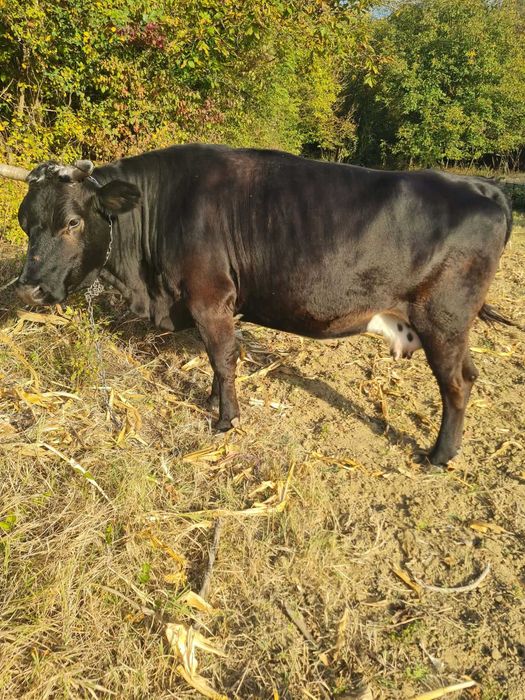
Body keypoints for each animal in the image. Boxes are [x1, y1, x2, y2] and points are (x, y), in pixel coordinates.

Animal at [0, 145, 515, 465]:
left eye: (72, 221)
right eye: (24, 221)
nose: (28, 290)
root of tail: (480, 186)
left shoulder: (211, 298)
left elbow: (223, 357)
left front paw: (225, 418)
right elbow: (216, 360)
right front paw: (212, 400)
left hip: (442, 319)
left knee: (456, 384)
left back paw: (439, 455)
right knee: (468, 375)